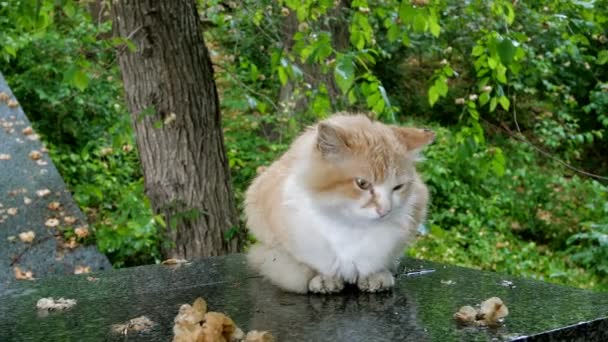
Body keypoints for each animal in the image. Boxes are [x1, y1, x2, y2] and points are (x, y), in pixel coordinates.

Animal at [245, 113, 434, 294]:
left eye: (398, 187)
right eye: (362, 183)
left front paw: (376, 277)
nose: (385, 210)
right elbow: (308, 267)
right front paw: (324, 281)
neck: (350, 225)